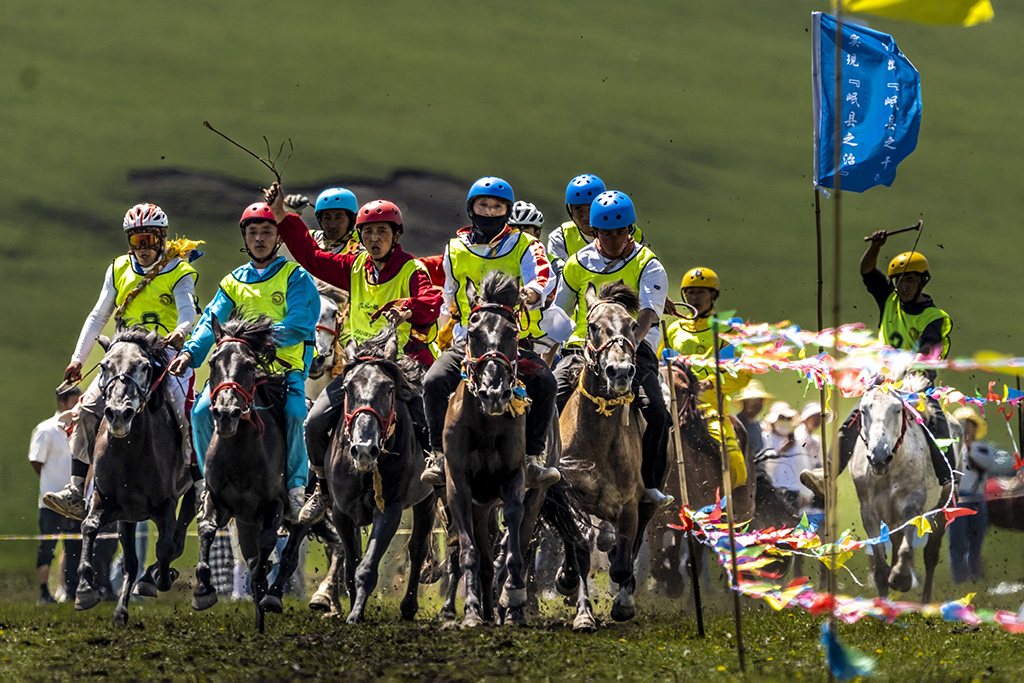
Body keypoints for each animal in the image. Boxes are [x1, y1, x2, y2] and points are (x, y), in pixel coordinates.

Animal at [74, 327, 194, 626]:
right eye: (104, 365)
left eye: (144, 366)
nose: (119, 414)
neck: (130, 455)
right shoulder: (106, 501)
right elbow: (89, 527)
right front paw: (84, 591)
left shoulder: (165, 506)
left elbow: (166, 547)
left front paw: (158, 578)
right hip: (127, 517)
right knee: (130, 562)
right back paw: (120, 611)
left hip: (193, 494)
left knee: (177, 540)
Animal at [192, 315, 292, 634]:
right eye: (213, 362)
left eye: (249, 364)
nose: (226, 414)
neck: (240, 453)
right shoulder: (219, 501)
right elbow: (207, 529)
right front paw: (203, 590)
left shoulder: (275, 504)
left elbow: (266, 545)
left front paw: (264, 577)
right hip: (246, 521)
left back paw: (273, 595)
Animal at [442, 272, 532, 630]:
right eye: (474, 332)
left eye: (511, 332)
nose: (494, 393)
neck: (485, 425)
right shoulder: (458, 487)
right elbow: (469, 552)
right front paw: (470, 612)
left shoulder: (514, 478)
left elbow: (514, 542)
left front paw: (515, 601)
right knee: (474, 553)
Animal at [548, 280, 651, 634]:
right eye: (593, 326)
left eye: (632, 325)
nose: (619, 371)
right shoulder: (571, 499)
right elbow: (578, 549)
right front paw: (582, 612)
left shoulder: (630, 503)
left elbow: (621, 563)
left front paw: (623, 603)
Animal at [847, 378, 958, 602]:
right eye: (863, 410)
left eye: (897, 409)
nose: (879, 457)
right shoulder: (869, 513)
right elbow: (881, 569)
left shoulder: (913, 504)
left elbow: (907, 549)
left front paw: (901, 578)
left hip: (942, 507)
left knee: (930, 555)